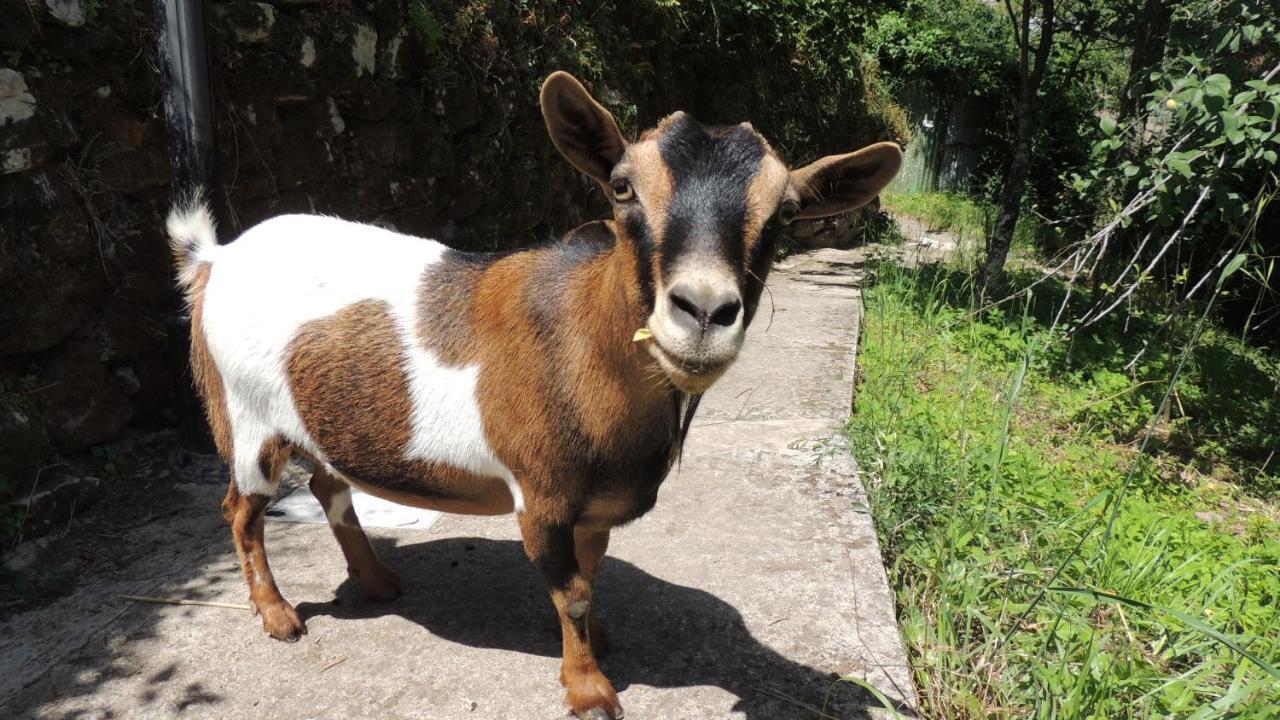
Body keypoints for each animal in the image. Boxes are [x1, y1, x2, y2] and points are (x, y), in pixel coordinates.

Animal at [167, 71, 901, 717]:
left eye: (787, 211)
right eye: (622, 187)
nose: (702, 311)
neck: (584, 343)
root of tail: (215, 258)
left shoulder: (596, 507)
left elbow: (591, 575)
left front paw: (597, 644)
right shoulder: (541, 496)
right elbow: (569, 590)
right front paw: (590, 690)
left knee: (329, 485)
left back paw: (376, 582)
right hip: (248, 418)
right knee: (242, 511)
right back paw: (278, 615)